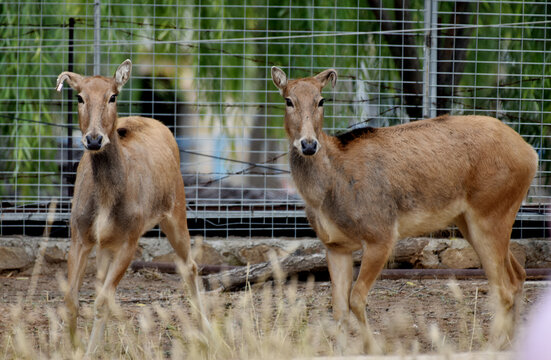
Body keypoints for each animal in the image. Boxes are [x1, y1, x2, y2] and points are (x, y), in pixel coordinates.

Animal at [57, 59, 209, 354]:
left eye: (112, 96)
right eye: (79, 97)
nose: (94, 139)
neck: (105, 199)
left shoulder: (130, 239)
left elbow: (102, 301)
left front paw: (88, 351)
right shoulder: (79, 234)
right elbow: (72, 300)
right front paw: (76, 348)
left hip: (176, 211)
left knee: (191, 266)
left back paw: (207, 331)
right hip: (106, 243)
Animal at [272, 67, 540, 352]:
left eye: (321, 100)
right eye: (288, 100)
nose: (308, 145)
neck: (326, 194)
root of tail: (531, 154)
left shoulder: (381, 235)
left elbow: (356, 298)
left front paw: (374, 348)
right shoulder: (335, 245)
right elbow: (339, 308)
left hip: (490, 214)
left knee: (505, 287)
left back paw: (492, 345)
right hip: (471, 221)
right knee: (518, 275)